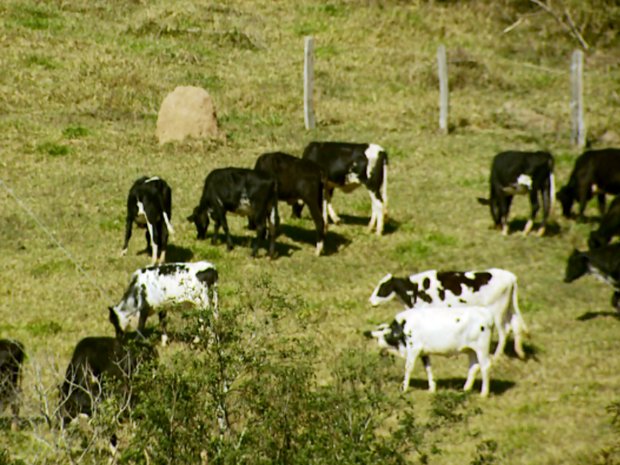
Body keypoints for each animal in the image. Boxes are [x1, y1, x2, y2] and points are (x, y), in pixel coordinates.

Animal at [364, 308, 494, 396]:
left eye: (385, 338)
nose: (381, 353)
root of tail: (485, 312)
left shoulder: (414, 349)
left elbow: (408, 367)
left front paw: (404, 388)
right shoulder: (424, 352)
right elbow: (428, 368)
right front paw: (431, 388)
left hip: (482, 348)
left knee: (485, 366)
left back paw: (484, 393)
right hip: (472, 350)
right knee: (474, 366)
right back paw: (466, 389)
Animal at [368, 268, 528, 358]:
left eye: (383, 289)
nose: (370, 301)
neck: (416, 289)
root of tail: (510, 276)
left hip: (497, 310)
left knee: (504, 331)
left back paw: (497, 356)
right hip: (508, 308)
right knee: (516, 326)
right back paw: (520, 353)